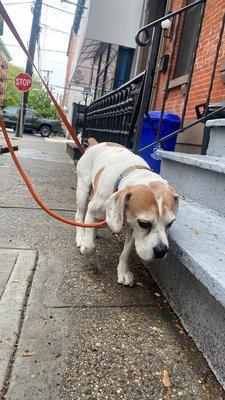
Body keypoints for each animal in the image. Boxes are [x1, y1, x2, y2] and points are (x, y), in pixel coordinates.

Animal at [75, 139, 179, 286]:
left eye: (170, 224)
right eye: (144, 223)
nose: (161, 251)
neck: (133, 171)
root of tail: (96, 143)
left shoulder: (132, 228)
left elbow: (126, 252)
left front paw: (123, 272)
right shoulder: (92, 212)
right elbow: (90, 246)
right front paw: (86, 247)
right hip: (83, 191)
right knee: (79, 216)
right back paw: (80, 238)